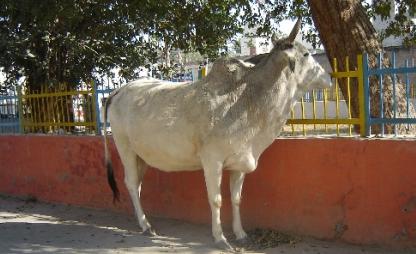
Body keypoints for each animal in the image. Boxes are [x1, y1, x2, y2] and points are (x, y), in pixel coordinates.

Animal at [104, 19, 332, 250]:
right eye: (306, 54)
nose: (329, 77)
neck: (248, 99)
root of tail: (118, 91)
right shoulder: (212, 160)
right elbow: (216, 200)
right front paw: (220, 238)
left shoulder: (239, 162)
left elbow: (236, 199)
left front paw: (241, 233)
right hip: (125, 148)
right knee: (131, 183)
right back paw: (145, 225)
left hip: (141, 156)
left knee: (138, 184)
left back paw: (142, 220)